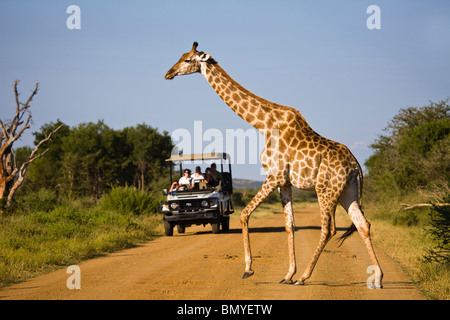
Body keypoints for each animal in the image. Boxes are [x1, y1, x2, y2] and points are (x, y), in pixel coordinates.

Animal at [165, 41, 384, 288]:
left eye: (187, 60)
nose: (168, 73)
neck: (263, 124)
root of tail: (356, 166)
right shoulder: (285, 182)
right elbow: (289, 224)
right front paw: (287, 274)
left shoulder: (274, 176)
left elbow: (244, 214)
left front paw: (249, 269)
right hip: (348, 191)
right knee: (363, 224)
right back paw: (378, 278)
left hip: (325, 189)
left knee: (329, 229)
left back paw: (304, 277)